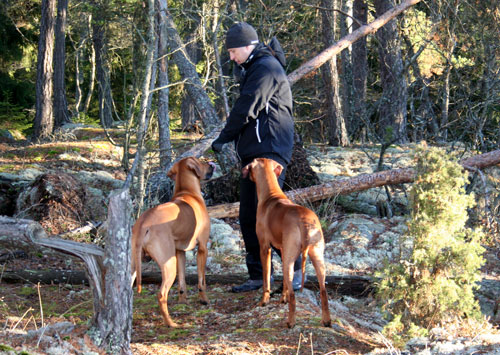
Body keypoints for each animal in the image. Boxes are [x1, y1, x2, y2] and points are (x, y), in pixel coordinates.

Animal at [131, 157, 215, 330]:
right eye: (201, 162)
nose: (211, 164)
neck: (188, 193)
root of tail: (143, 222)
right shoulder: (203, 248)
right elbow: (201, 280)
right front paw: (204, 299)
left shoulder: (180, 252)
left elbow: (182, 281)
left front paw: (183, 301)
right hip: (168, 265)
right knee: (161, 294)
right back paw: (170, 323)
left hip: (133, 264)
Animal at [242, 157, 332, 330]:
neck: (271, 195)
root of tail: (304, 221)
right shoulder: (283, 250)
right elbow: (284, 283)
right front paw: (282, 298)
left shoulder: (265, 247)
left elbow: (266, 278)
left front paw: (264, 300)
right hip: (316, 256)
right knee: (323, 291)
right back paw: (326, 321)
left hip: (290, 260)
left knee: (293, 294)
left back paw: (291, 322)